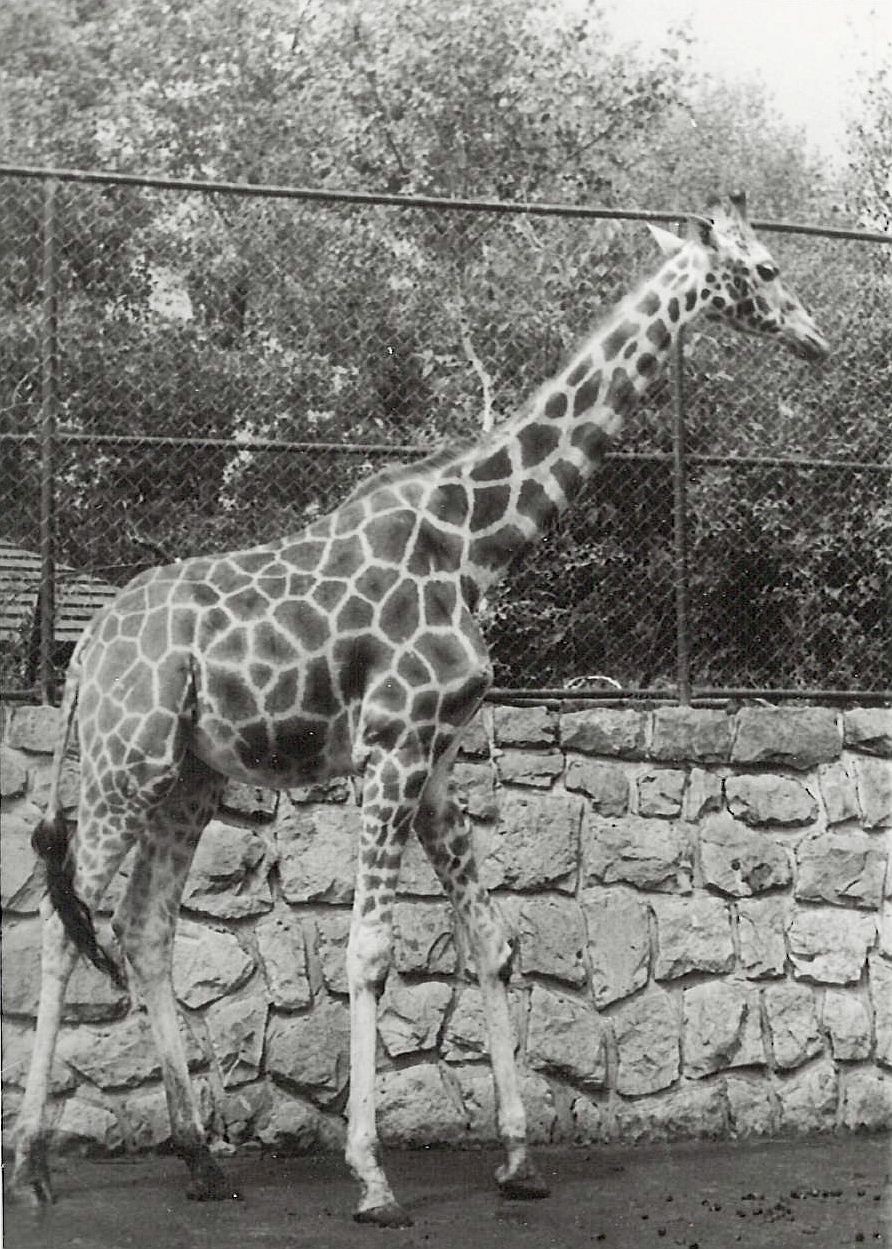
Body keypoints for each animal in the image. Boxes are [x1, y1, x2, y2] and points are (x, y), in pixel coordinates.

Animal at [12, 192, 828, 1226]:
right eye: (764, 268)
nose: (818, 340)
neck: (472, 545)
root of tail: (85, 653)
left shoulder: (435, 757)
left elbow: (492, 941)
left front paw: (519, 1158)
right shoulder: (390, 745)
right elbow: (369, 948)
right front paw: (373, 1177)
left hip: (189, 776)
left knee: (142, 926)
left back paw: (199, 1159)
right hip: (127, 763)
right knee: (59, 925)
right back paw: (32, 1165)